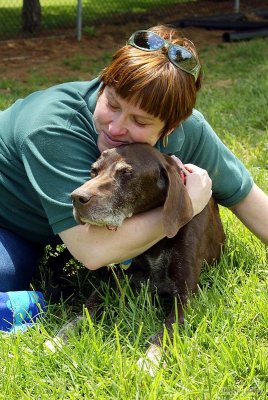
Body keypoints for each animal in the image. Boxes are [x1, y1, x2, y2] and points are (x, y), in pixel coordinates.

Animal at [70, 143, 224, 346]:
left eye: (126, 172)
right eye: (93, 171)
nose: (76, 197)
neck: (157, 244)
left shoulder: (185, 296)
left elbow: (163, 334)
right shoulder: (111, 283)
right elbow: (84, 312)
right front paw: (54, 341)